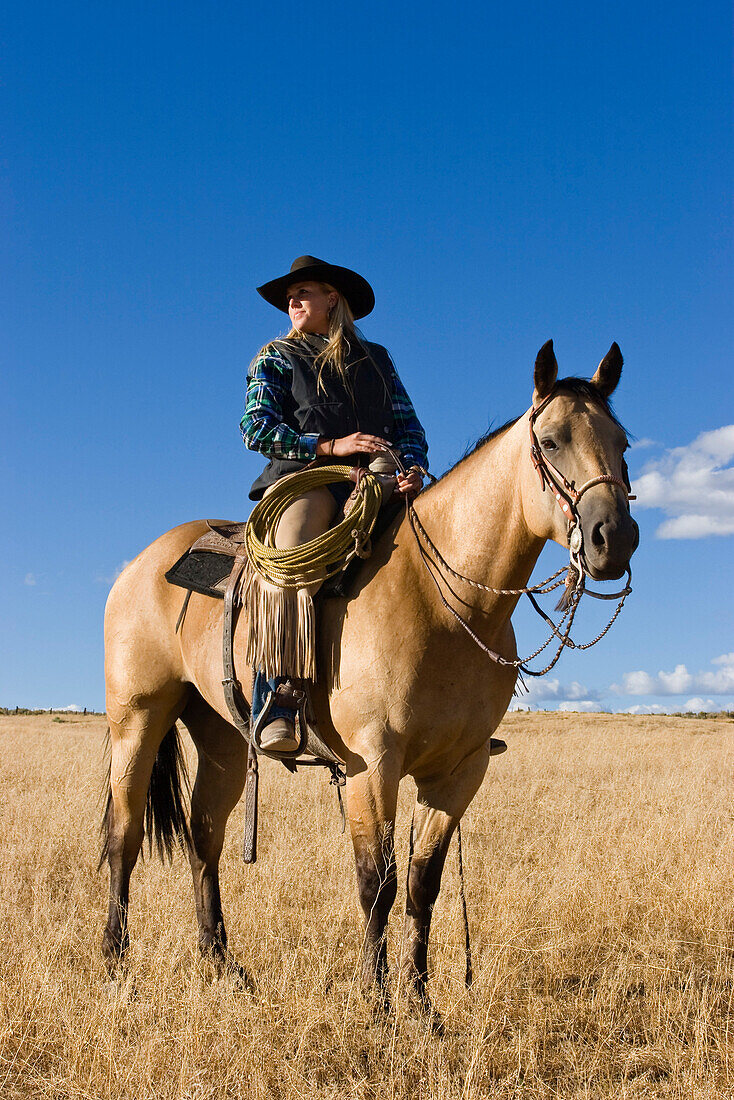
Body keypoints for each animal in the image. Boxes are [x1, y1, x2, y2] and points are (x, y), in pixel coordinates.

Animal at [100, 343, 638, 1007]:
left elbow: (422, 884)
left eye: (622, 442)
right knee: (124, 835)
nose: (614, 537)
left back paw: (222, 963)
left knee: (205, 837)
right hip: (137, 718)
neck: (446, 602)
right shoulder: (371, 764)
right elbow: (375, 883)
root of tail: (140, 564)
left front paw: (424, 1005)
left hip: (221, 733)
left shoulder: (460, 771)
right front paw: (379, 1004)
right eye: (553, 440)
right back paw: (116, 962)